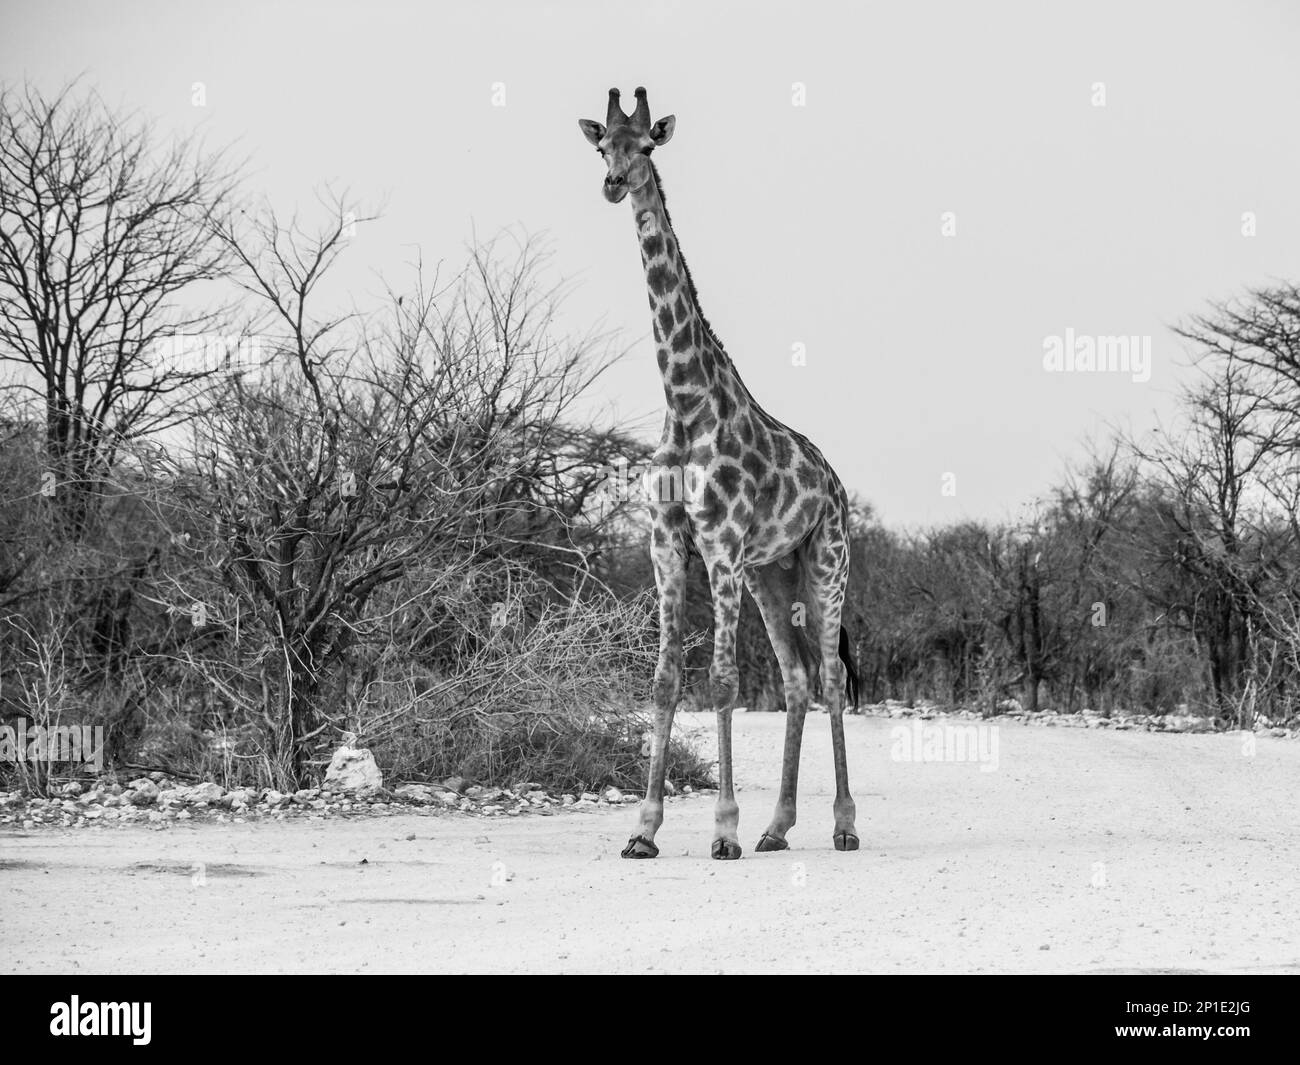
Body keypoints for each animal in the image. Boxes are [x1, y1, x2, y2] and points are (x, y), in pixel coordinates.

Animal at [579, 87, 863, 863]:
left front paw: (722, 829)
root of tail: (836, 483)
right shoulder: (667, 546)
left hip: (825, 560)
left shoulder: (722, 547)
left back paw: (842, 824)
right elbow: (665, 679)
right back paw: (778, 826)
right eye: (601, 145)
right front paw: (644, 829)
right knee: (796, 677)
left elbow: (725, 679)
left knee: (831, 674)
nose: (614, 184)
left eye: (648, 145)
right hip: (773, 573)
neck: (685, 402)